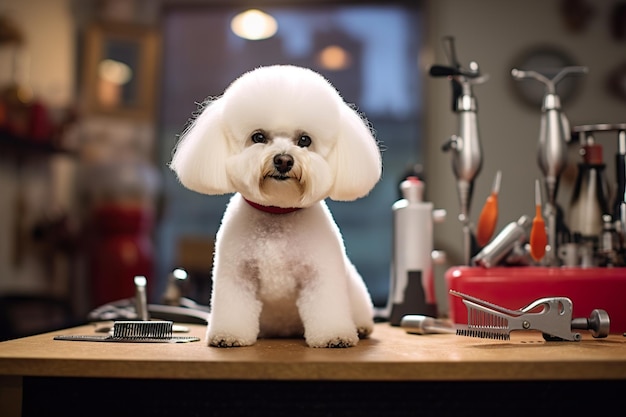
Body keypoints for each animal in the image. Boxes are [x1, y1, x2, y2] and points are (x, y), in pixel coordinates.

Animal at [168, 63, 380, 346]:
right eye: (258, 137)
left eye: (304, 140)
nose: (283, 160)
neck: (277, 213)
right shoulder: (236, 276)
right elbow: (233, 308)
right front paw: (228, 335)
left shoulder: (320, 277)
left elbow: (327, 308)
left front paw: (334, 336)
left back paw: (361, 327)